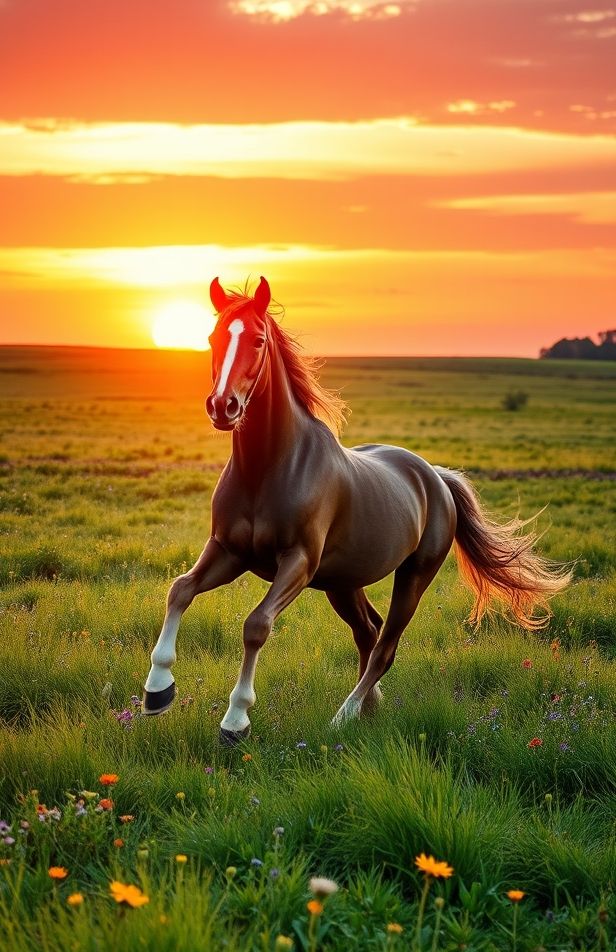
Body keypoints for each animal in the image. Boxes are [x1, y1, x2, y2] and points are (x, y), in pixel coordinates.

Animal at [143, 276, 571, 743]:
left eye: (257, 340)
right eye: (212, 337)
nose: (223, 407)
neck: (269, 468)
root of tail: (437, 478)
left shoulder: (298, 563)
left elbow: (256, 625)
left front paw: (235, 720)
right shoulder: (228, 551)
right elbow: (180, 589)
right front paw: (157, 691)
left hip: (412, 577)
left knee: (384, 646)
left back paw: (343, 718)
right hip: (342, 583)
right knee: (368, 632)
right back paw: (369, 708)